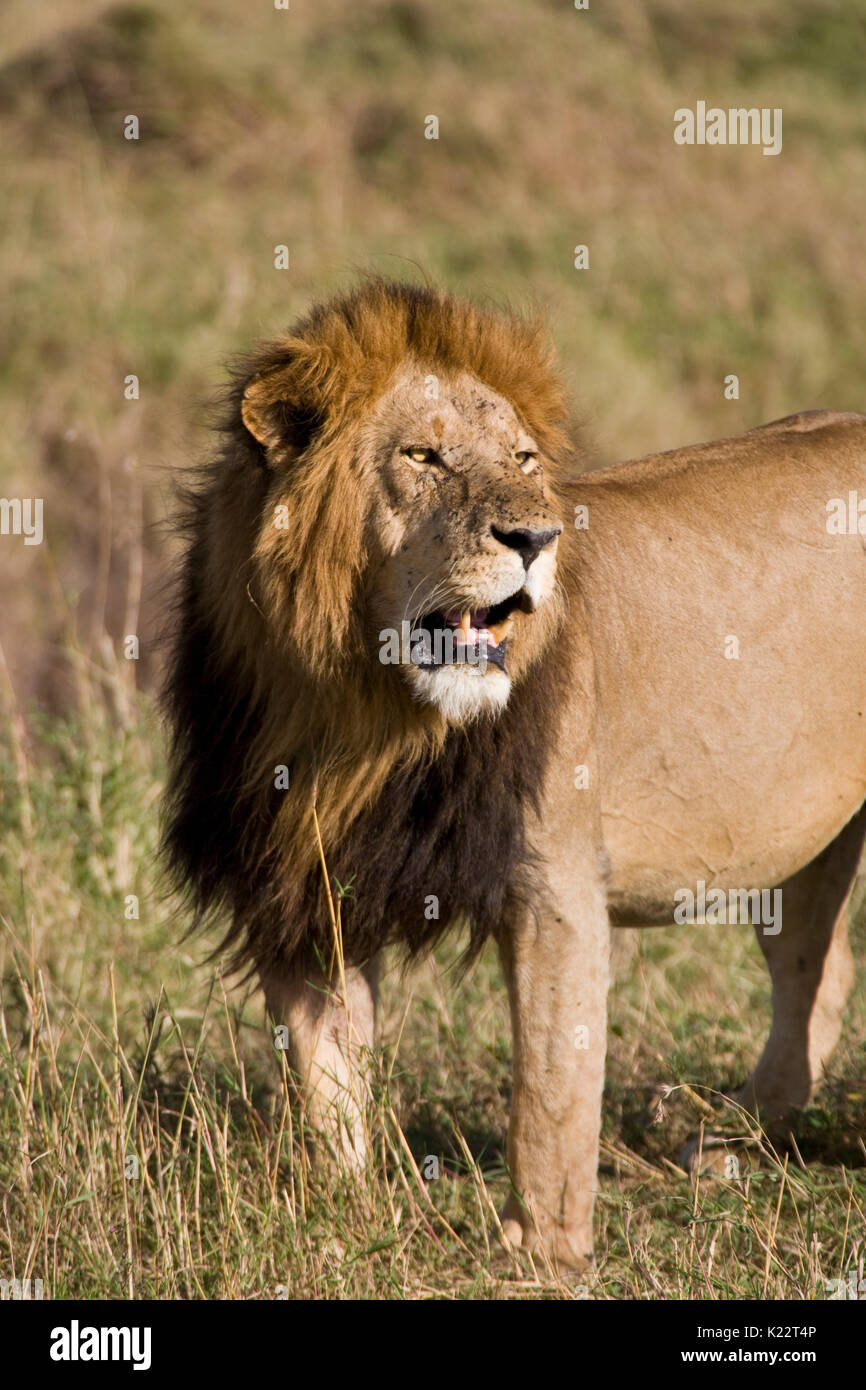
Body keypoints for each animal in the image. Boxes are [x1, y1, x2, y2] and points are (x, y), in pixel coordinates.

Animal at [162, 278, 866, 1270]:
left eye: (524, 459)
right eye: (422, 456)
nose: (535, 536)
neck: (365, 716)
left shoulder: (555, 887)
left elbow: (550, 1083)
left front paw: (541, 1253)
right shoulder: (303, 883)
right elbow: (324, 1079)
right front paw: (340, 1225)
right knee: (820, 972)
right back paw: (728, 1143)